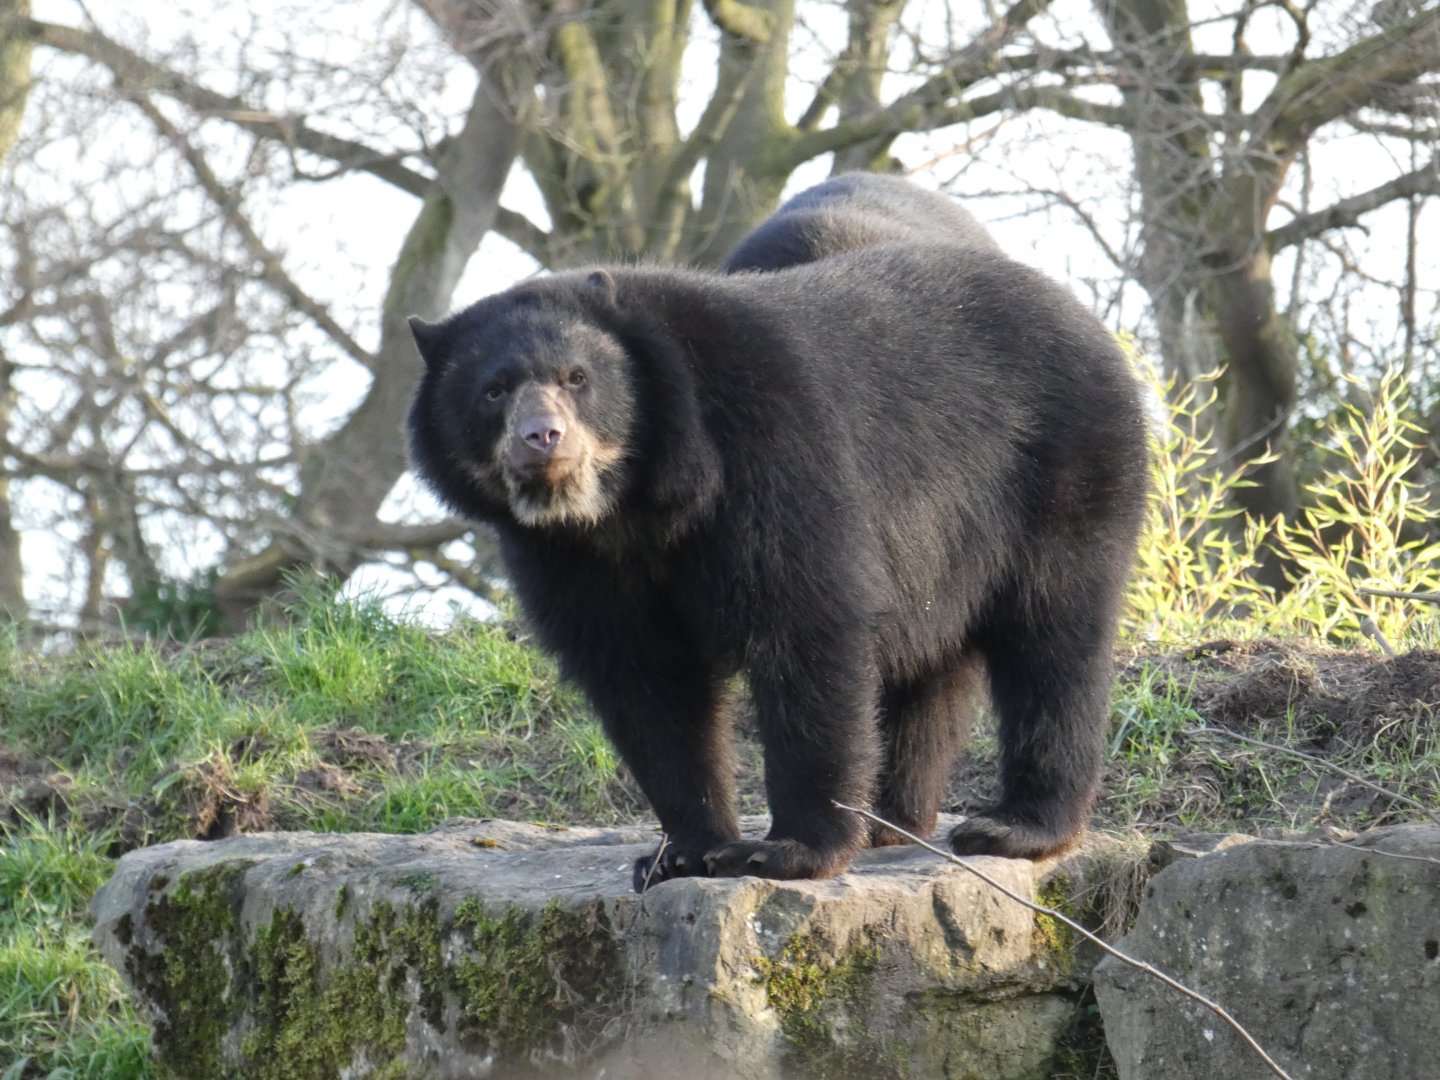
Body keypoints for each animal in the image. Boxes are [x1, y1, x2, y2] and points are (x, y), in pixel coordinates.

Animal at [408, 223, 1149, 892]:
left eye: (577, 378)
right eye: (494, 390)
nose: (543, 438)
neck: (629, 507)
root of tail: (1090, 322)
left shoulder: (769, 455)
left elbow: (804, 626)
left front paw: (782, 851)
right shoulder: (564, 557)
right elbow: (643, 681)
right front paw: (676, 856)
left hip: (1064, 471)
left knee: (1053, 641)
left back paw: (1015, 826)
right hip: (949, 549)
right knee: (931, 668)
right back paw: (891, 820)